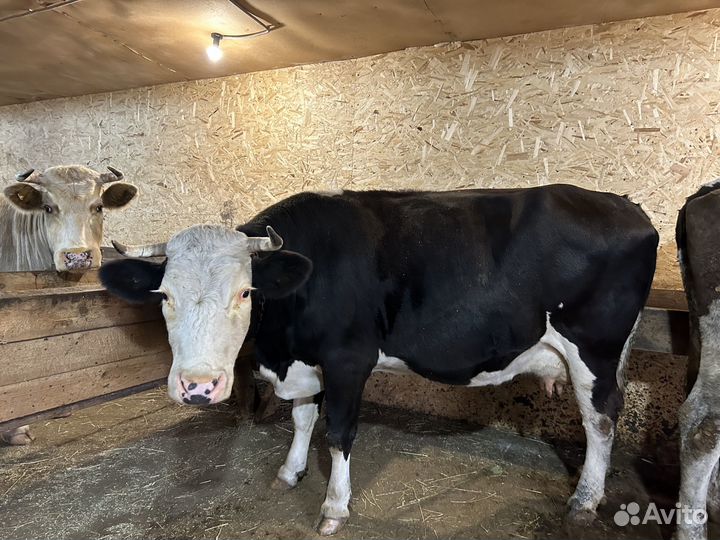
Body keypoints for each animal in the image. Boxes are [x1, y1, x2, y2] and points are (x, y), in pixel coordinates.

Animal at [100, 185, 658, 535]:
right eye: (165, 295)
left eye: (245, 292)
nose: (198, 387)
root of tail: (624, 205)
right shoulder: (305, 363)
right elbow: (302, 418)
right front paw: (290, 471)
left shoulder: (349, 359)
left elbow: (338, 432)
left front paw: (334, 507)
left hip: (594, 348)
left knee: (600, 421)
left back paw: (584, 501)